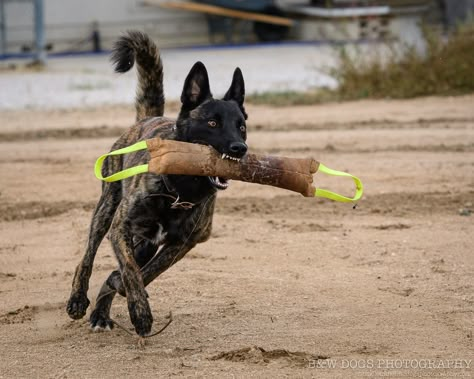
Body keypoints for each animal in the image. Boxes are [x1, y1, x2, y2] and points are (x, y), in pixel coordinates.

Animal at [67, 31, 252, 336]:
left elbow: (145, 273)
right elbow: (131, 272)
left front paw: (121, 286)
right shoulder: (120, 228)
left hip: (145, 243)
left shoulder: (183, 243)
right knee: (87, 257)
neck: (181, 187)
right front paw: (140, 312)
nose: (240, 149)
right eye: (212, 123)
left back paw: (101, 313)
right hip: (106, 211)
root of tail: (146, 118)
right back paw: (78, 300)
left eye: (242, 126)